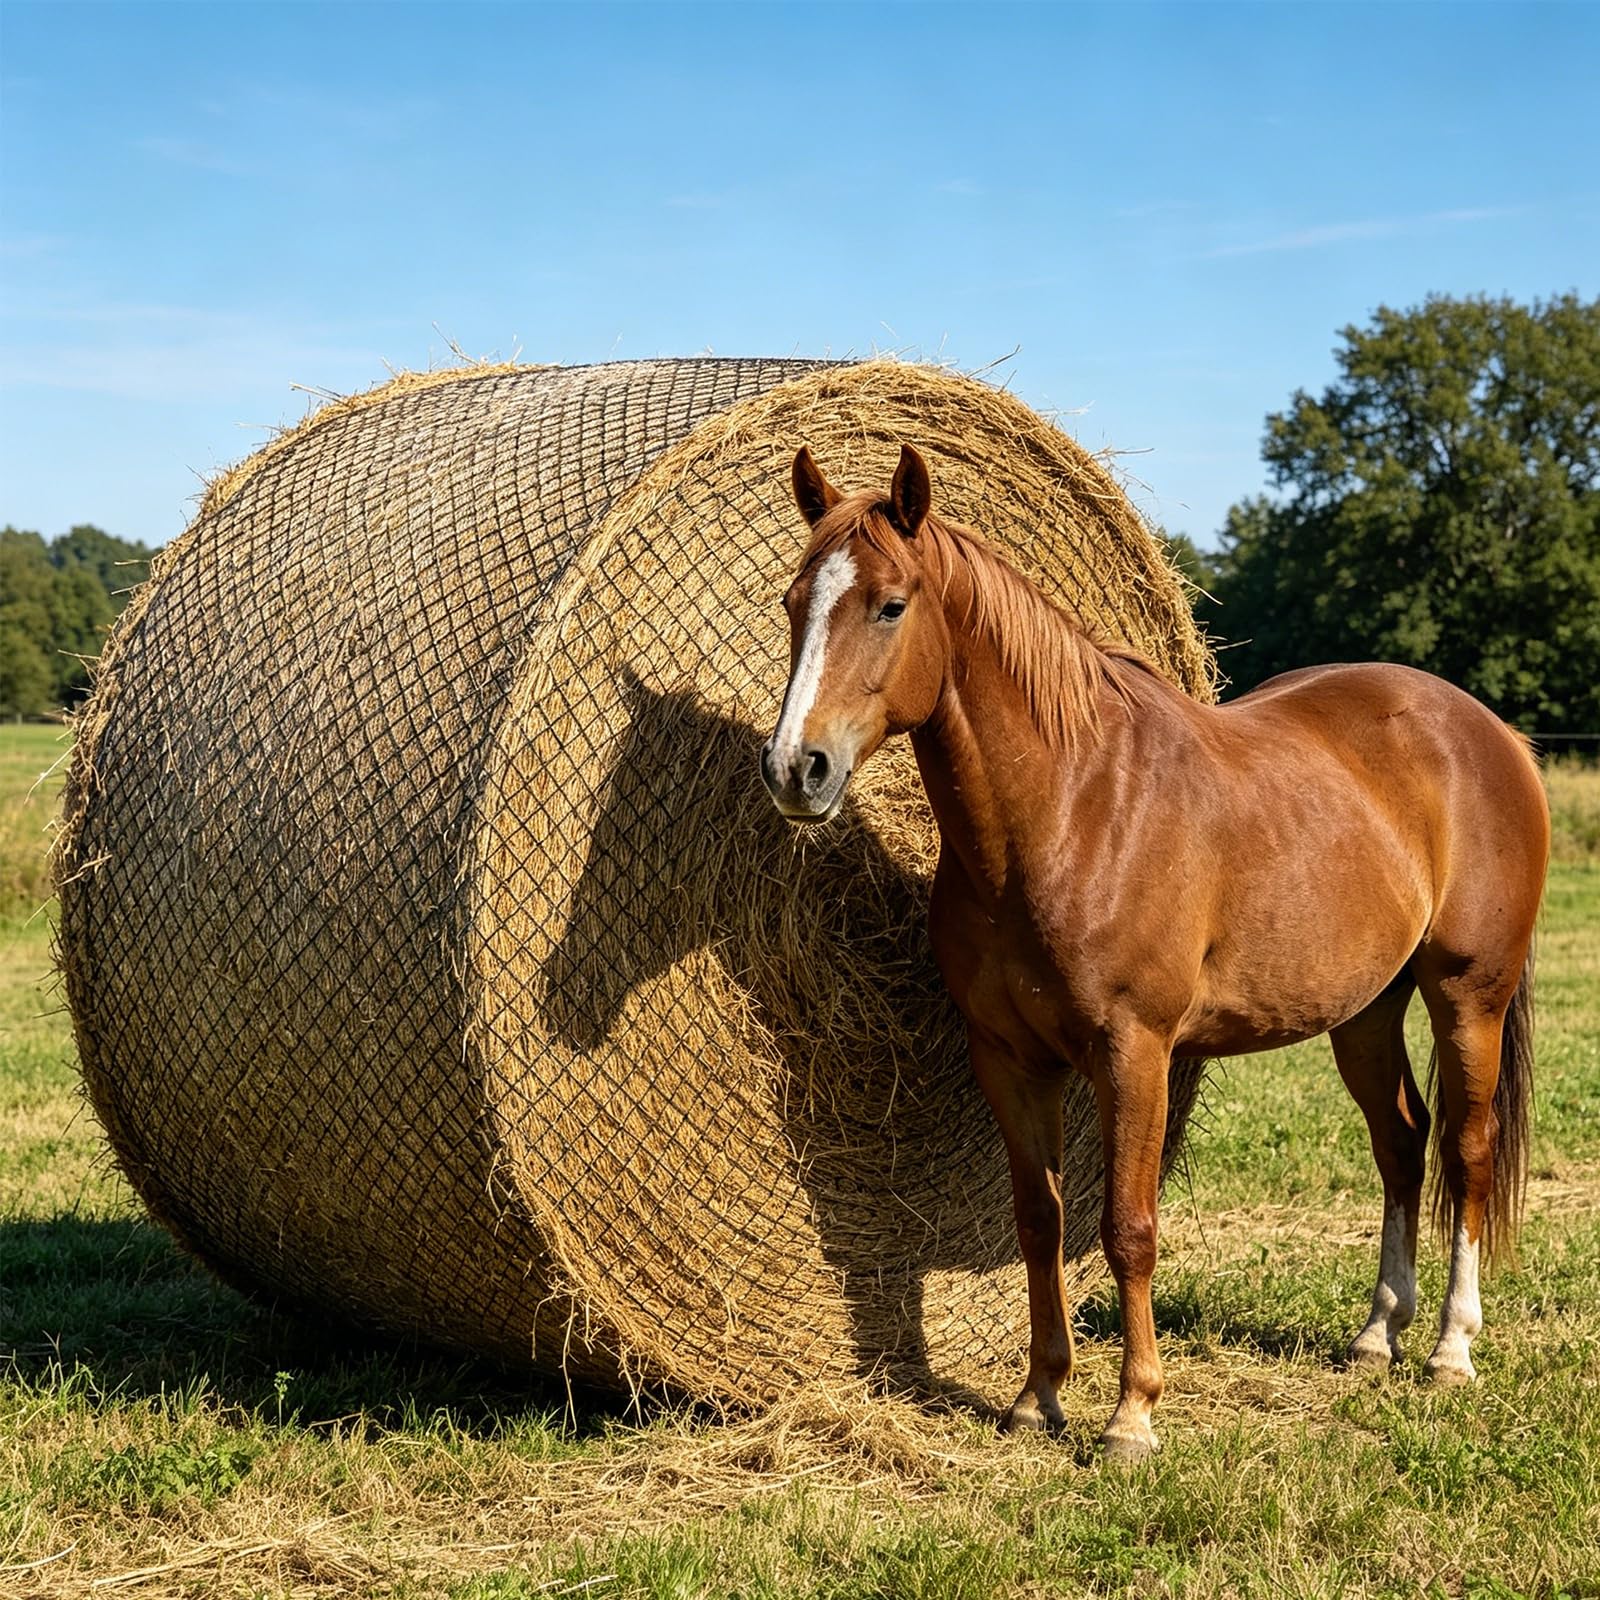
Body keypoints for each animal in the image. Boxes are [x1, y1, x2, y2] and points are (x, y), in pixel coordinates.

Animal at [760, 444, 1547, 1462]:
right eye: (793, 602)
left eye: (890, 604)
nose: (795, 768)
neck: (1070, 808)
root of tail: (1491, 733)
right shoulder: (1010, 1060)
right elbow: (1039, 1221)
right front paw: (1038, 1396)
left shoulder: (1134, 1052)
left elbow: (1127, 1227)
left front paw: (1132, 1414)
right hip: (1366, 1011)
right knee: (1403, 1144)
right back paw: (1378, 1334)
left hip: (1466, 996)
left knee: (1467, 1149)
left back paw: (1452, 1347)